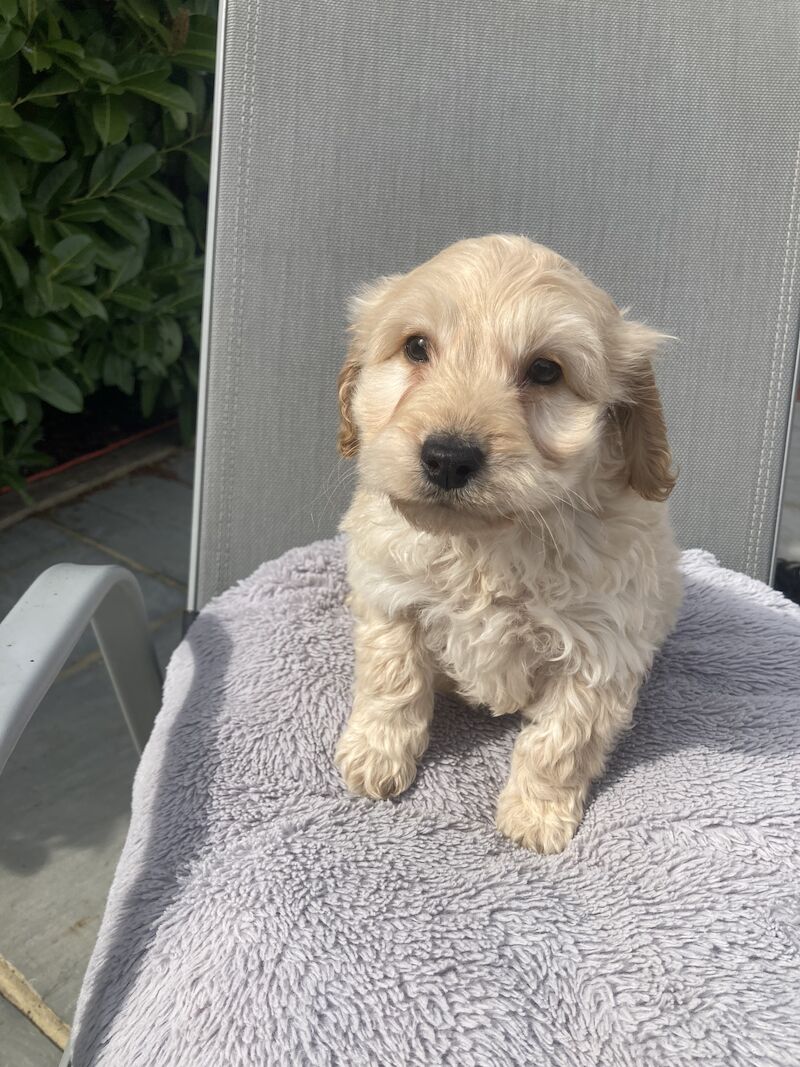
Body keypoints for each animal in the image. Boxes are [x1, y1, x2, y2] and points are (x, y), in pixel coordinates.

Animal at [332, 237, 682, 853]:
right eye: (416, 347)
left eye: (545, 370)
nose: (448, 457)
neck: (485, 544)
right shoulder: (388, 592)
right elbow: (391, 682)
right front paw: (375, 757)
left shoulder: (603, 647)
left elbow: (561, 742)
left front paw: (536, 816)